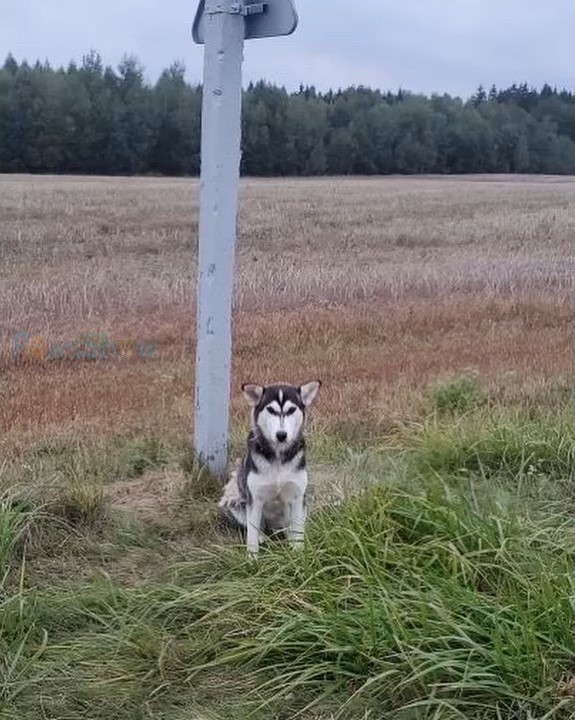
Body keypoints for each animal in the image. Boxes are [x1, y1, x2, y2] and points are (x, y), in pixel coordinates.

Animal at [218, 382, 322, 556]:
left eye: (291, 410)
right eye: (271, 410)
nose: (281, 435)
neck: (278, 456)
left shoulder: (298, 496)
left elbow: (298, 531)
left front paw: (299, 554)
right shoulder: (255, 499)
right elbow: (252, 535)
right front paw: (252, 558)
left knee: (290, 528)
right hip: (235, 502)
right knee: (255, 527)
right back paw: (263, 537)